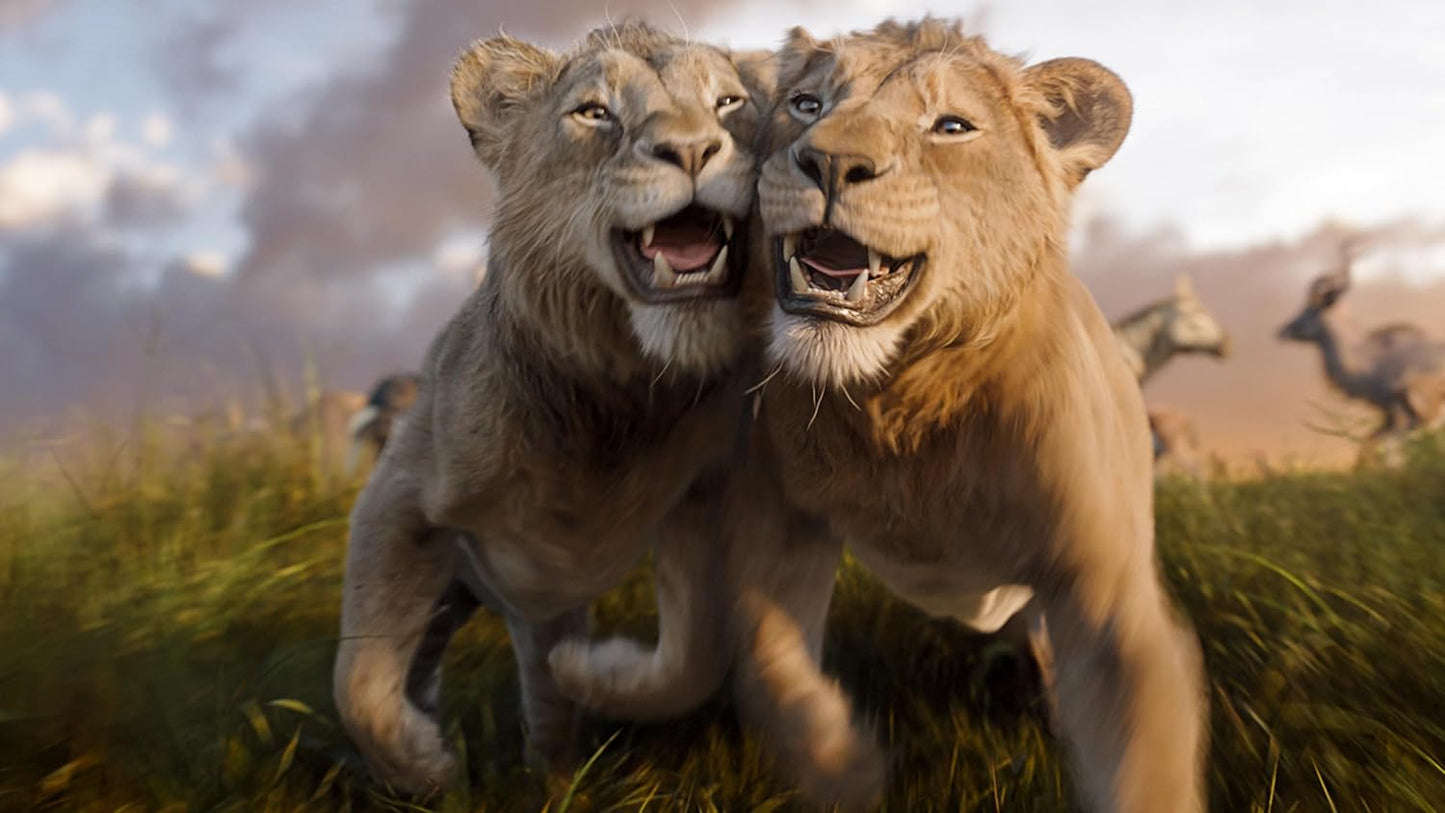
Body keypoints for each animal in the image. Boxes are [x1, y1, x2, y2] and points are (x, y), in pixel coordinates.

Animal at [331, 22, 774, 795]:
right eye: (594, 113)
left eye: (728, 102)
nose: (692, 150)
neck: (616, 395)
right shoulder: (398, 495)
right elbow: (357, 679)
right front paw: (422, 765)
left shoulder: (706, 498)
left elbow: (694, 654)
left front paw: (601, 675)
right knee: (413, 658)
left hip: (540, 607)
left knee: (546, 702)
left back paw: (556, 778)